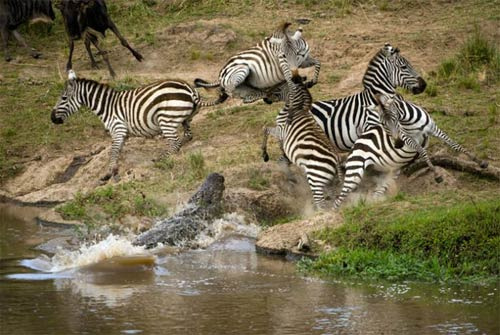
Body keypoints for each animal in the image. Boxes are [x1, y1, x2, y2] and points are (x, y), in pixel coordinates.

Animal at [50, 69, 227, 182]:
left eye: (64, 98)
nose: (52, 119)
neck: (107, 106)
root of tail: (190, 90)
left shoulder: (117, 129)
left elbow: (113, 152)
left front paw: (109, 175)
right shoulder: (123, 134)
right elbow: (117, 152)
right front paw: (114, 172)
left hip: (166, 120)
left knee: (175, 143)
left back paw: (161, 159)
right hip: (185, 119)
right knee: (187, 136)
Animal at [260, 71, 342, 207]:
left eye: (278, 86)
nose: (265, 98)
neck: (297, 109)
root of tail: (337, 161)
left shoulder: (281, 130)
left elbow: (265, 129)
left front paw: (265, 154)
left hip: (315, 178)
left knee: (321, 203)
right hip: (327, 181)